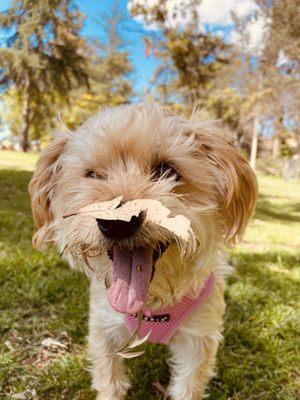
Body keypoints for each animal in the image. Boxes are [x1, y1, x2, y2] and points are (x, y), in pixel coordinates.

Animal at [28, 104, 258, 400]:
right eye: (93, 174)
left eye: (166, 170)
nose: (116, 222)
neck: (152, 305)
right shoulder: (103, 328)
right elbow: (109, 379)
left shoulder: (198, 339)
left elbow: (188, 386)